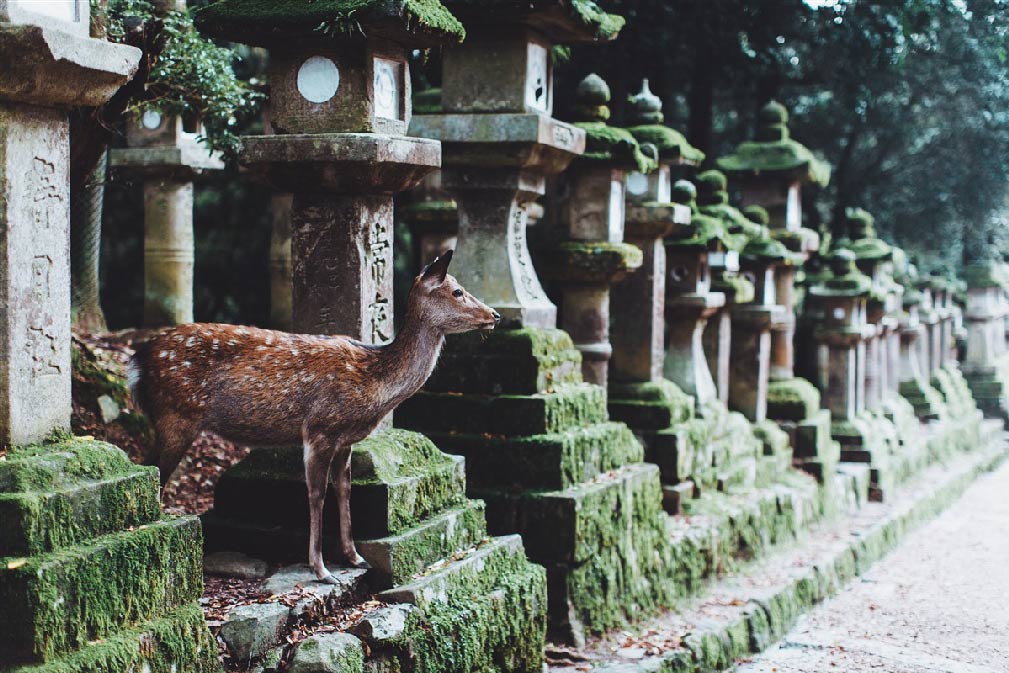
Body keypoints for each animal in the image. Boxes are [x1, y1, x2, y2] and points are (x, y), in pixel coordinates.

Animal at [128, 252, 498, 585]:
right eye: (457, 291)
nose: (494, 314)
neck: (374, 384)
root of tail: (136, 362)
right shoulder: (319, 429)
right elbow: (316, 495)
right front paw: (321, 570)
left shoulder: (345, 439)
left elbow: (344, 489)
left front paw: (355, 557)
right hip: (175, 415)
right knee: (153, 473)